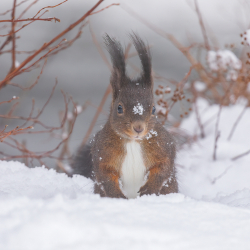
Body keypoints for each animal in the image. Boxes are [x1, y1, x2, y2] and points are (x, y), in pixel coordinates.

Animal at [71, 32, 179, 199]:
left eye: (154, 109)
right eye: (119, 108)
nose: (138, 128)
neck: (133, 142)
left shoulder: (165, 146)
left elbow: (163, 167)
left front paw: (150, 188)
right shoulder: (101, 152)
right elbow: (105, 174)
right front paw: (116, 195)